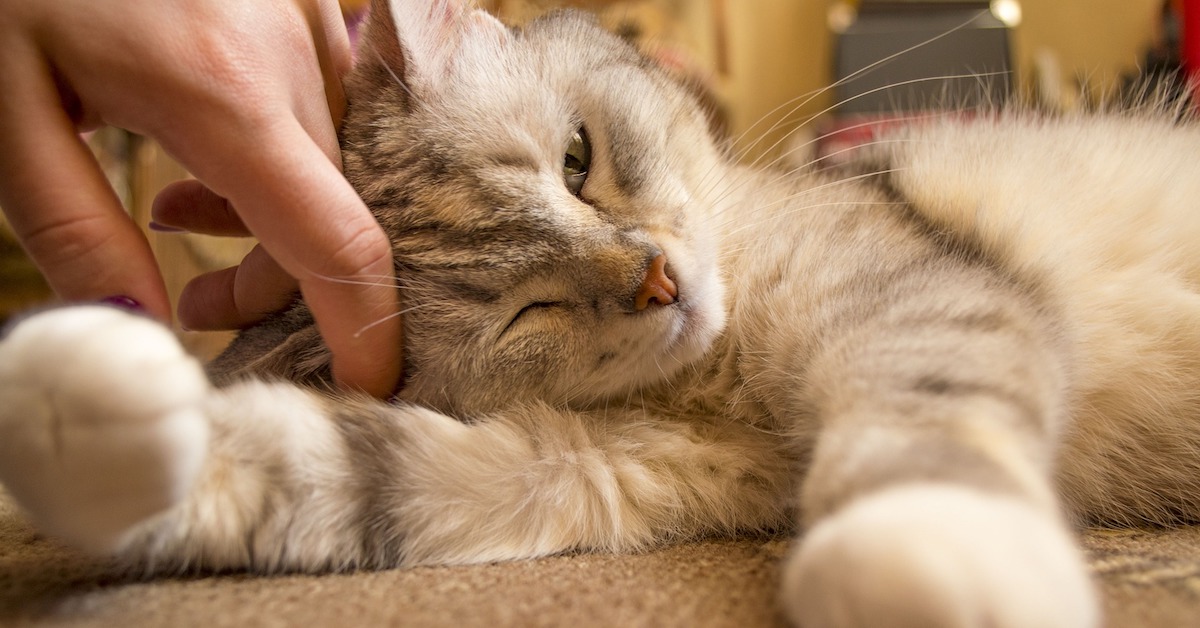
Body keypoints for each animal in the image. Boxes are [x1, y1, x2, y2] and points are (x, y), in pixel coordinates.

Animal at [2, 0, 1200, 624]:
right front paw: (69, 406)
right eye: (523, 312)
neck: (726, 378)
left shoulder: (912, 304)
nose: (655, 281)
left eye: (577, 163)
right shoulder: (596, 464)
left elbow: (919, 433)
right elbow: (328, 465)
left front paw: (931, 559)